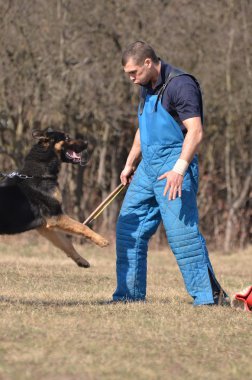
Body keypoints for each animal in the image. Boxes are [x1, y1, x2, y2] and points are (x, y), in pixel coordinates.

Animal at [0, 127, 110, 268]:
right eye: (67, 138)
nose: (87, 142)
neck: (39, 175)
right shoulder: (55, 216)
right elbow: (82, 226)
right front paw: (101, 240)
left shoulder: (45, 226)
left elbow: (67, 244)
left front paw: (81, 260)